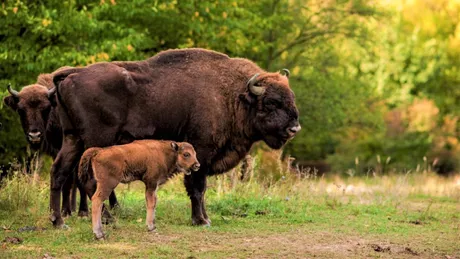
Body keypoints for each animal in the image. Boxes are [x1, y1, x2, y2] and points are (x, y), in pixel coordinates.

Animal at [2, 70, 117, 217]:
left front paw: (81, 211)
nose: (34, 135)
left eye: (46, 108)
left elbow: (77, 180)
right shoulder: (56, 151)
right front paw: (65, 210)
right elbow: (66, 179)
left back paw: (112, 206)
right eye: (21, 110)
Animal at [51, 48, 302, 228]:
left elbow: (201, 189)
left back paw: (58, 221)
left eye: (291, 97)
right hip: (96, 142)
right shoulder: (202, 151)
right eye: (271, 103)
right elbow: (197, 187)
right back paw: (107, 219)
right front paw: (200, 220)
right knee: (90, 182)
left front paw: (206, 217)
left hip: (73, 139)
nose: (294, 128)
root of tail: (73, 74)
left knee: (59, 172)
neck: (232, 95)